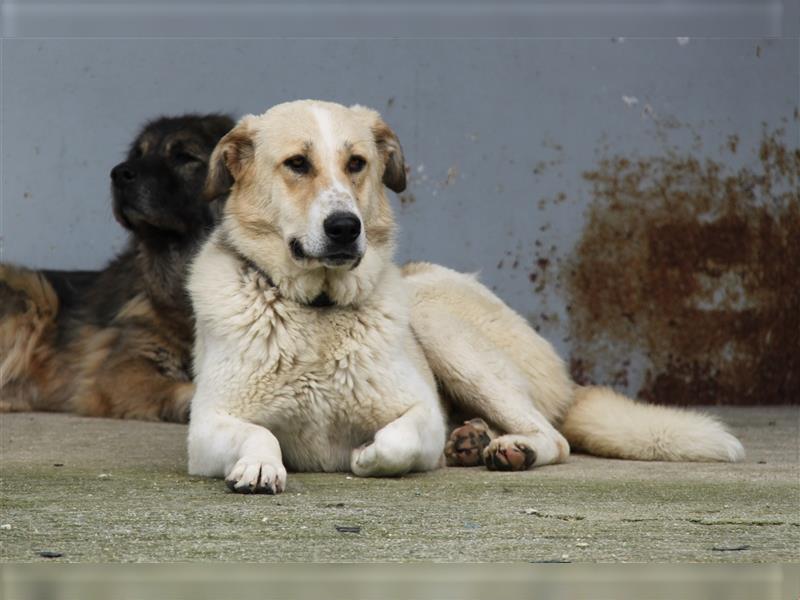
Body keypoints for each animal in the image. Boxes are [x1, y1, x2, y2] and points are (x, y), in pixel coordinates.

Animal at [188, 99, 744, 492]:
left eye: (357, 163)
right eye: (297, 164)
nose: (346, 227)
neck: (318, 310)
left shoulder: (421, 413)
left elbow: (398, 440)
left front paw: (368, 456)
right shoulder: (205, 426)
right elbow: (258, 432)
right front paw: (262, 465)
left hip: (438, 323)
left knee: (555, 436)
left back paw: (508, 449)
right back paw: (473, 440)